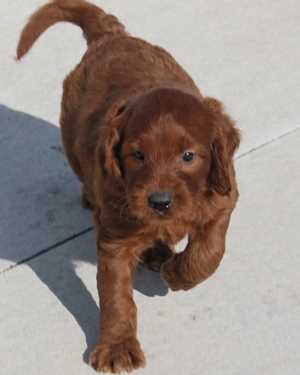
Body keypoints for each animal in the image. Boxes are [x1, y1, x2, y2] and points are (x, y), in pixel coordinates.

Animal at [17, 1, 241, 374]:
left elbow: (209, 251)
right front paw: (117, 347)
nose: (159, 202)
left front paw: (178, 274)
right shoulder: (115, 237)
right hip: (72, 139)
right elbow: (116, 297)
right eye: (137, 155)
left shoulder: (224, 196)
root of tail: (110, 36)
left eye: (188, 156)